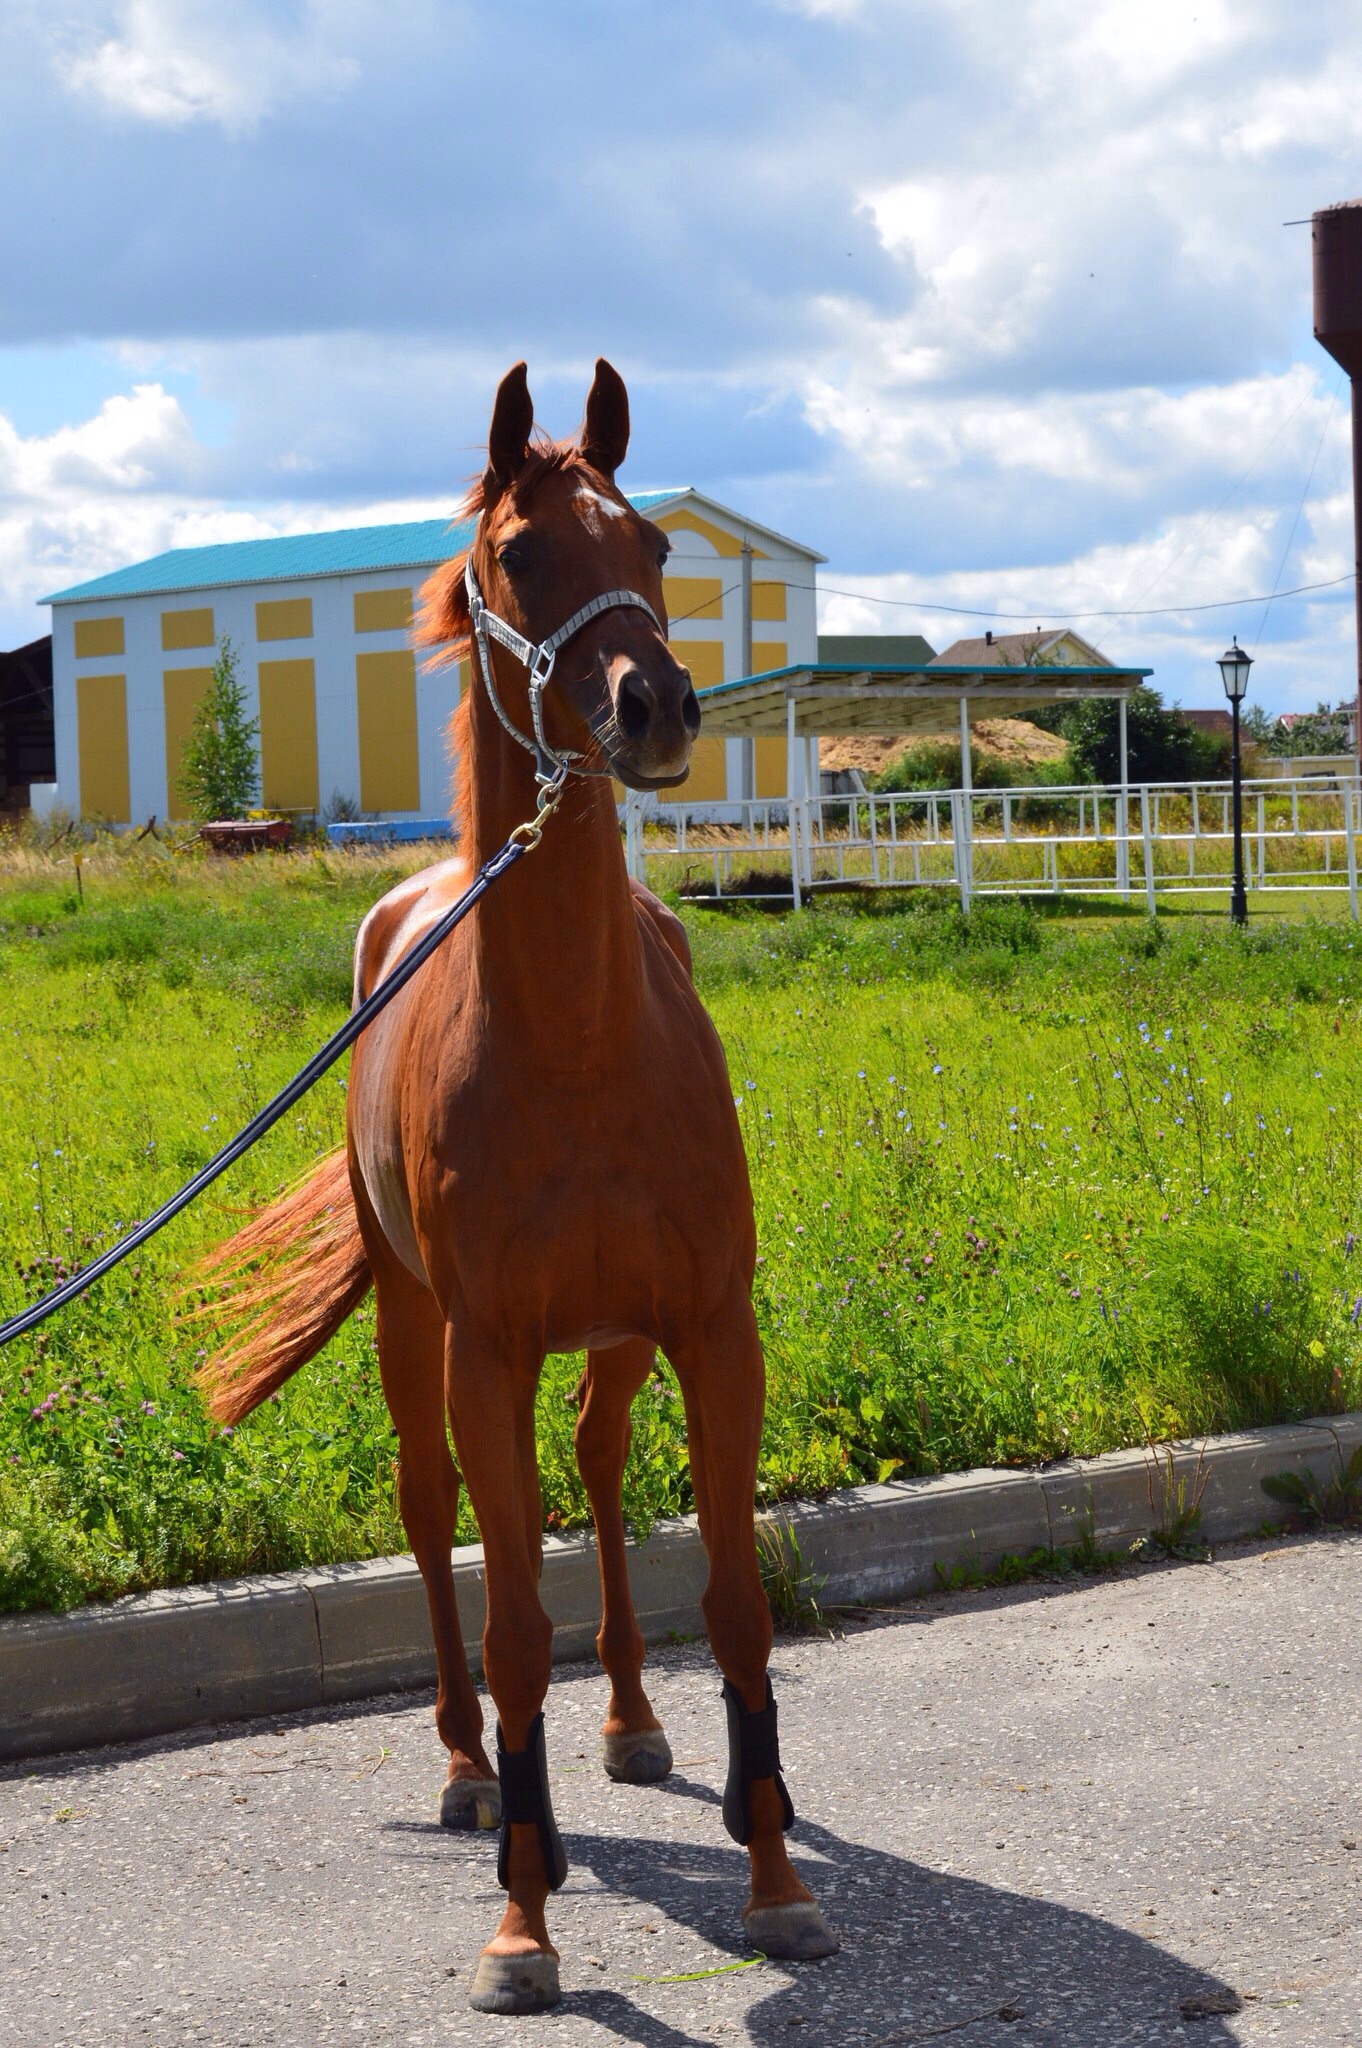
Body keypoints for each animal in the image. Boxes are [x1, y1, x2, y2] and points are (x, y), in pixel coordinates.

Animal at [196, 356, 835, 2015]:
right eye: (519, 555)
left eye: (657, 549)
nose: (656, 704)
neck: (576, 1039)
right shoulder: (484, 1350)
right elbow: (508, 1623)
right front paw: (521, 1920)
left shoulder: (712, 1329)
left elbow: (732, 1599)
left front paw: (775, 1874)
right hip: (413, 1325)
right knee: (435, 1522)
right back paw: (472, 1773)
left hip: (610, 1339)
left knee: (601, 1477)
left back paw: (633, 1727)